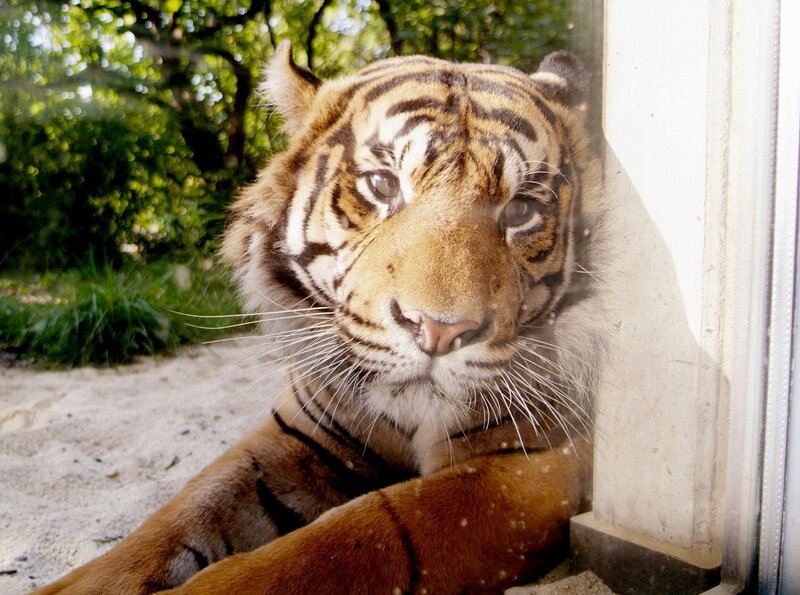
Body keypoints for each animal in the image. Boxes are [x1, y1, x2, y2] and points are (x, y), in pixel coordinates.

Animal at [40, 40, 609, 594]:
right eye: (382, 185)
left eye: (520, 211)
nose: (439, 330)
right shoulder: (298, 434)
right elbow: (170, 520)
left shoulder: (531, 467)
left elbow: (347, 539)